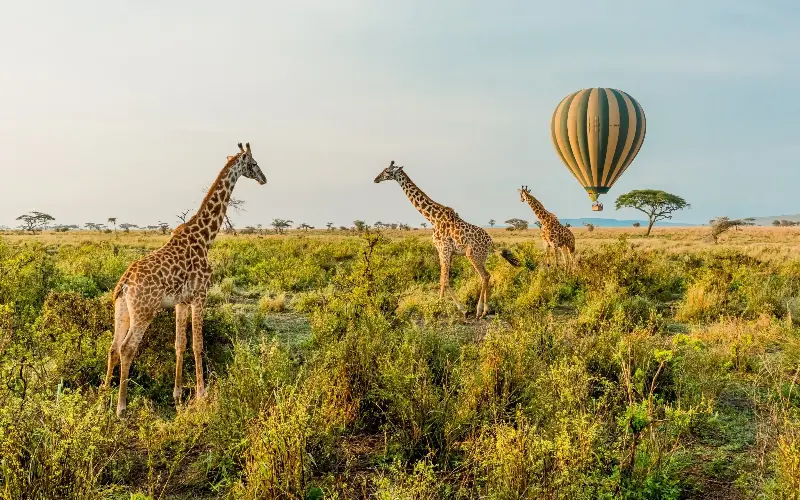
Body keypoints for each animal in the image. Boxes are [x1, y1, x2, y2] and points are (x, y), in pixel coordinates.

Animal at [102, 142, 266, 417]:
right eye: (253, 164)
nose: (264, 179)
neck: (205, 238)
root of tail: (124, 284)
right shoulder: (201, 295)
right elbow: (198, 345)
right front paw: (202, 394)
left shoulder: (181, 301)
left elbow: (180, 344)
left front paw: (178, 395)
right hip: (144, 312)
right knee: (127, 348)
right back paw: (121, 407)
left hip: (122, 309)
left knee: (113, 347)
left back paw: (103, 394)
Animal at [374, 161, 521, 318]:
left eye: (387, 171)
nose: (376, 179)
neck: (432, 218)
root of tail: (491, 242)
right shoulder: (449, 252)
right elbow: (446, 278)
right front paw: (454, 307)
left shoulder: (443, 249)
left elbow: (443, 279)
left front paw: (440, 306)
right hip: (482, 257)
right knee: (487, 275)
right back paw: (484, 310)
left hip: (472, 255)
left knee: (485, 276)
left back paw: (479, 310)